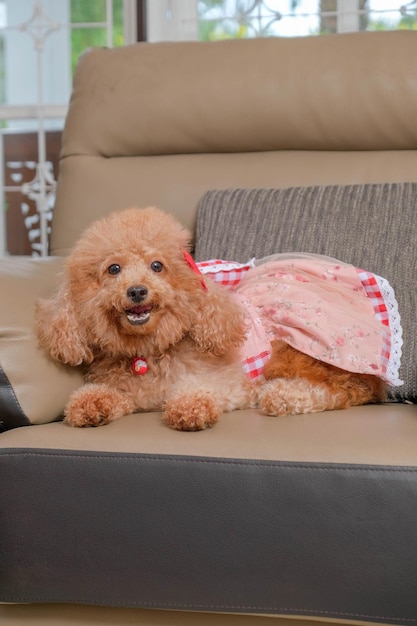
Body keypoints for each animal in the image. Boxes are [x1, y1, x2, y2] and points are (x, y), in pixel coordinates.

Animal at [37, 206, 386, 428]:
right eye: (113, 269)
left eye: (157, 266)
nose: (136, 291)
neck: (149, 352)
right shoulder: (131, 393)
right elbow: (100, 394)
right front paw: (90, 405)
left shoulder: (232, 387)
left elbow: (198, 391)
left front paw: (189, 408)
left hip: (303, 353)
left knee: (343, 391)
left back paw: (283, 395)